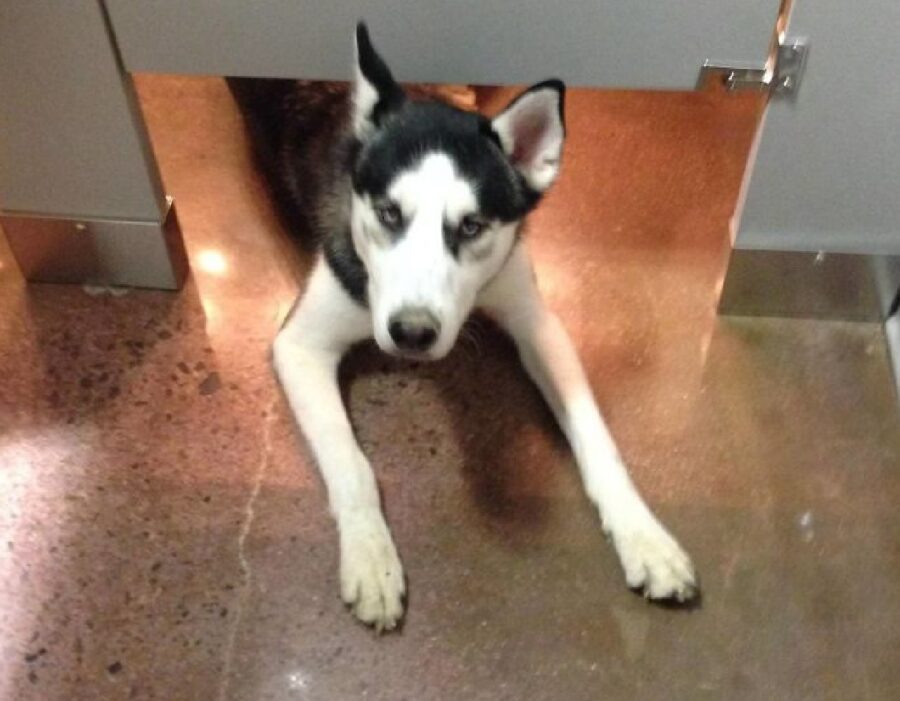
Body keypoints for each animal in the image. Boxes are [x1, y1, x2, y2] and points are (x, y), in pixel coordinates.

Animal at [229, 24, 700, 632]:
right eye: (388, 213)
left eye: (472, 226)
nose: (411, 333)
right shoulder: (300, 344)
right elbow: (353, 466)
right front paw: (371, 556)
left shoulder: (535, 320)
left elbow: (596, 437)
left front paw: (644, 536)